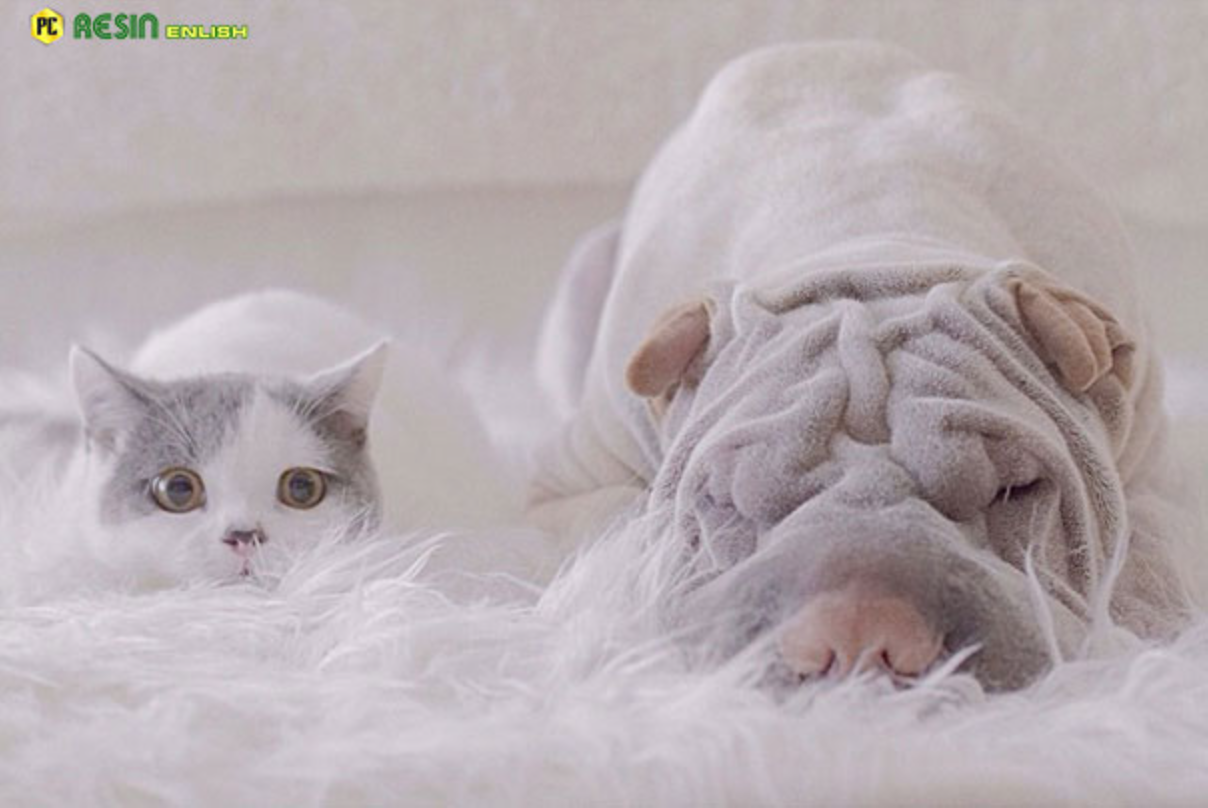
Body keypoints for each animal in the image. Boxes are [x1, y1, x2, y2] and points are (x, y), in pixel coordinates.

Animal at [533, 41, 1203, 690]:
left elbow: (1149, 538)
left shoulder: (1159, 474)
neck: (873, 244)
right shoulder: (572, 481)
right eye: (725, 499)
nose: (859, 631)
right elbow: (623, 526)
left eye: (1016, 489)